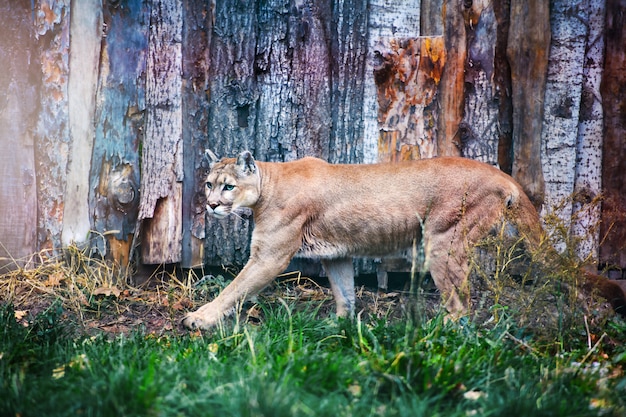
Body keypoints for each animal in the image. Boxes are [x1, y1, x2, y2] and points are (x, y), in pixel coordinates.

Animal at [178, 151, 620, 330]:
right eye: (209, 183)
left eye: (229, 186)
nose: (212, 205)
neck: (269, 183)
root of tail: (502, 174)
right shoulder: (336, 254)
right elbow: (344, 291)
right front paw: (340, 326)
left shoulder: (269, 256)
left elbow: (235, 288)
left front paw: (201, 318)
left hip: (443, 241)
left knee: (462, 305)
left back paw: (436, 330)